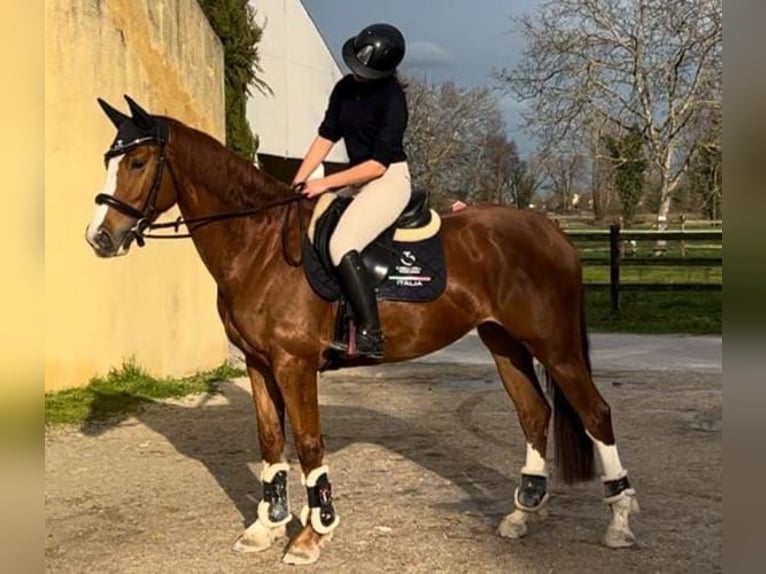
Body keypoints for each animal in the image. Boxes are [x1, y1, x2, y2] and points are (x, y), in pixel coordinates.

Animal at [85, 94, 640, 568]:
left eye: (137, 162)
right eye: (109, 158)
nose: (99, 239)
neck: (260, 247)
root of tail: (550, 230)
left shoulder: (294, 365)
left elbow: (309, 443)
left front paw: (312, 534)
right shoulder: (259, 364)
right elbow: (270, 440)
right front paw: (266, 527)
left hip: (555, 346)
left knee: (596, 414)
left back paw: (619, 521)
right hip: (504, 343)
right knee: (534, 414)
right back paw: (523, 515)